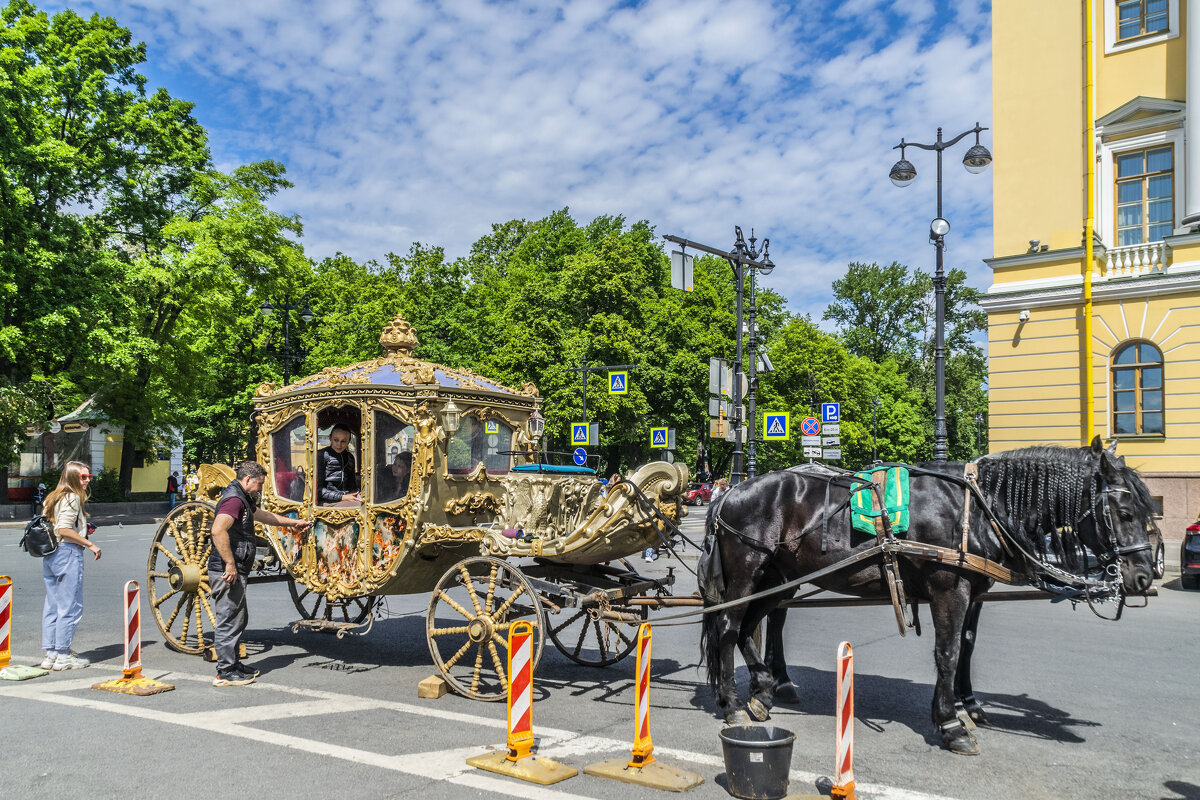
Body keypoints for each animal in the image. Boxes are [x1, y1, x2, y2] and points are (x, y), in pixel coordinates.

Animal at [700, 438, 1156, 758]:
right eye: (1126, 512)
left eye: (1149, 509)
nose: (1144, 575)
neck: (977, 507)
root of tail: (729, 492)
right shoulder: (949, 590)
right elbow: (947, 652)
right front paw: (951, 724)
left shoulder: (975, 592)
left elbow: (966, 647)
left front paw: (968, 706)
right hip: (748, 575)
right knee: (728, 627)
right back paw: (734, 703)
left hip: (778, 579)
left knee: (749, 628)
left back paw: (763, 691)